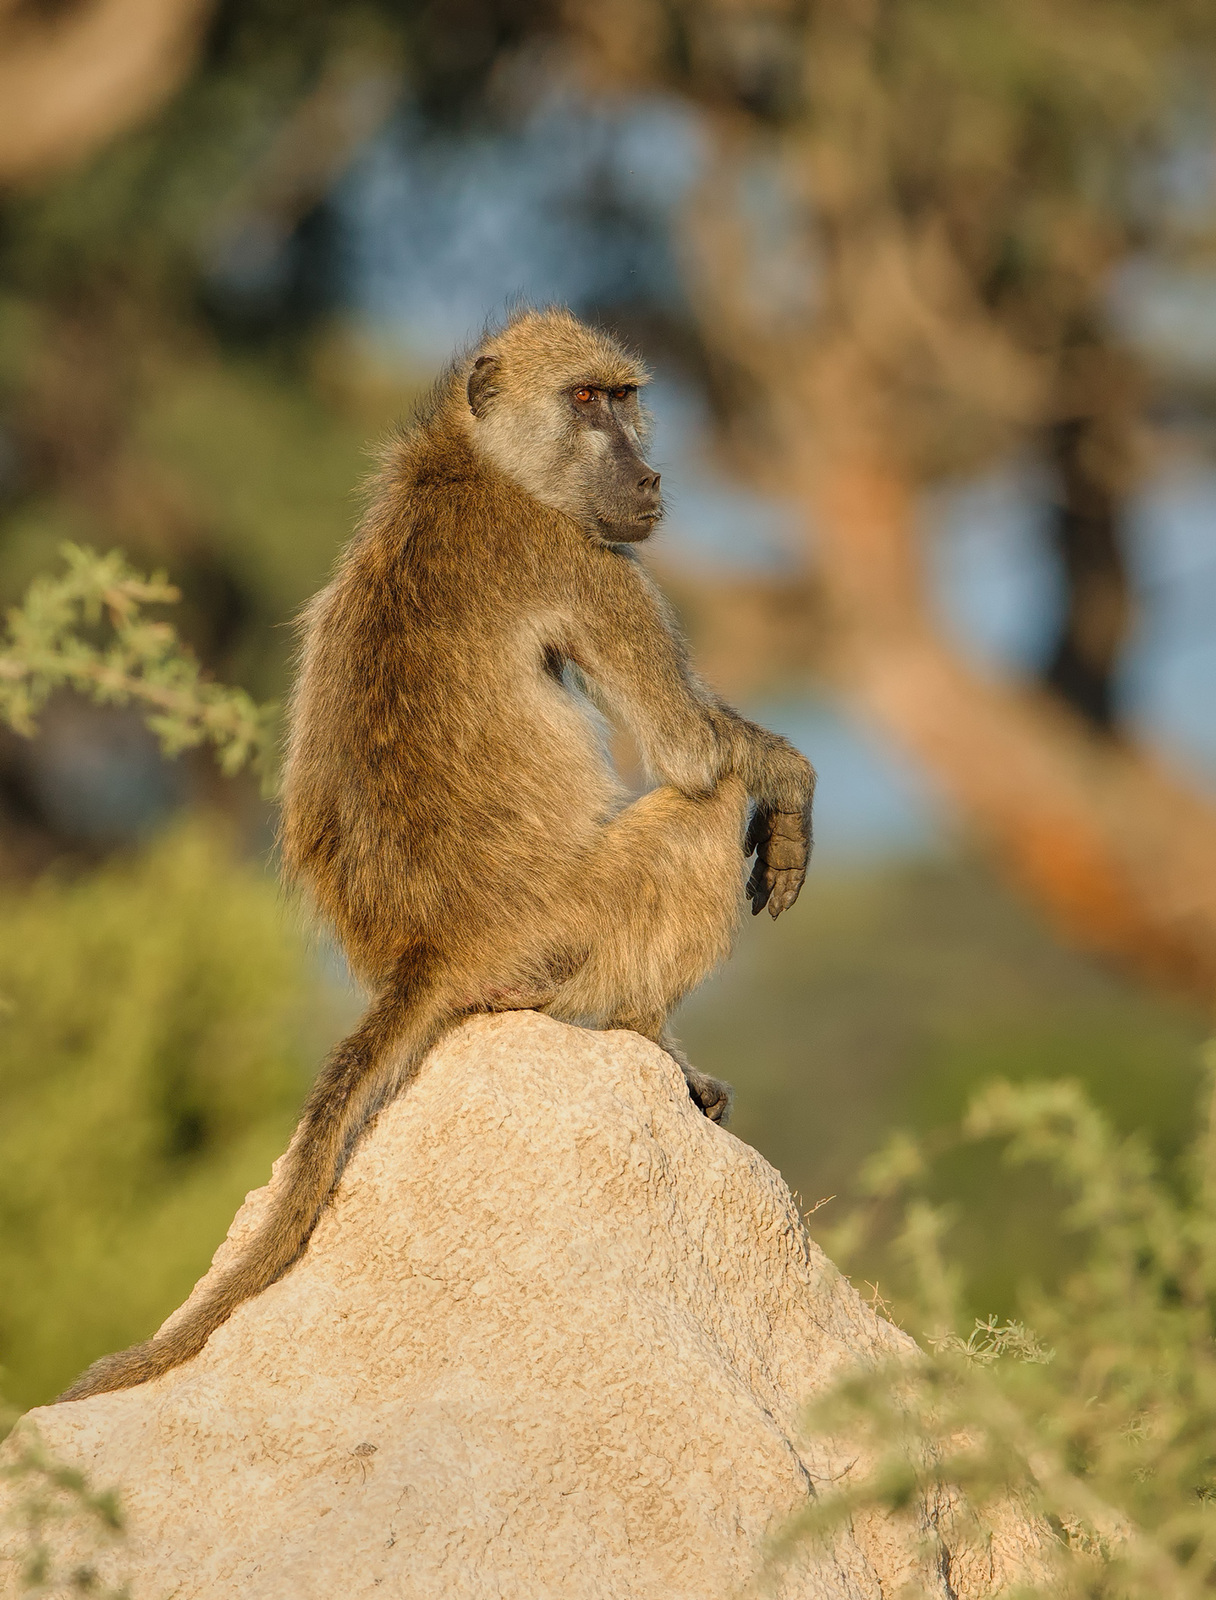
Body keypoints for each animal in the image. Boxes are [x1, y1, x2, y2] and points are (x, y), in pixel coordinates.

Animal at [58, 307, 815, 1404]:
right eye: (588, 399)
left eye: (625, 398)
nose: (649, 478)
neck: (471, 464)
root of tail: (430, 949)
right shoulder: (586, 559)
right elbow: (694, 753)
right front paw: (789, 783)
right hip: (571, 929)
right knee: (702, 809)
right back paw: (649, 1037)